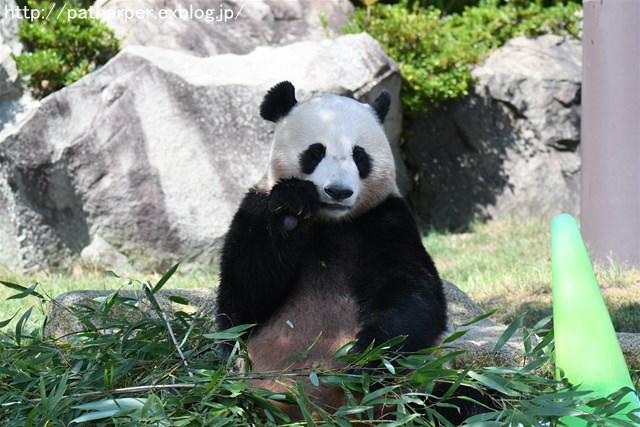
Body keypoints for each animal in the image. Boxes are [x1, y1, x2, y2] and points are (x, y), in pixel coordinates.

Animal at [218, 81, 448, 422]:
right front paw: (291, 210)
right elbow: (243, 300)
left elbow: (412, 293)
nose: (338, 191)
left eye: (359, 155)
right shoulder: (255, 208)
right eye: (315, 152)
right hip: (246, 398)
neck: (331, 223)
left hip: (421, 392)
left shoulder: (386, 219)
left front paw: (366, 357)